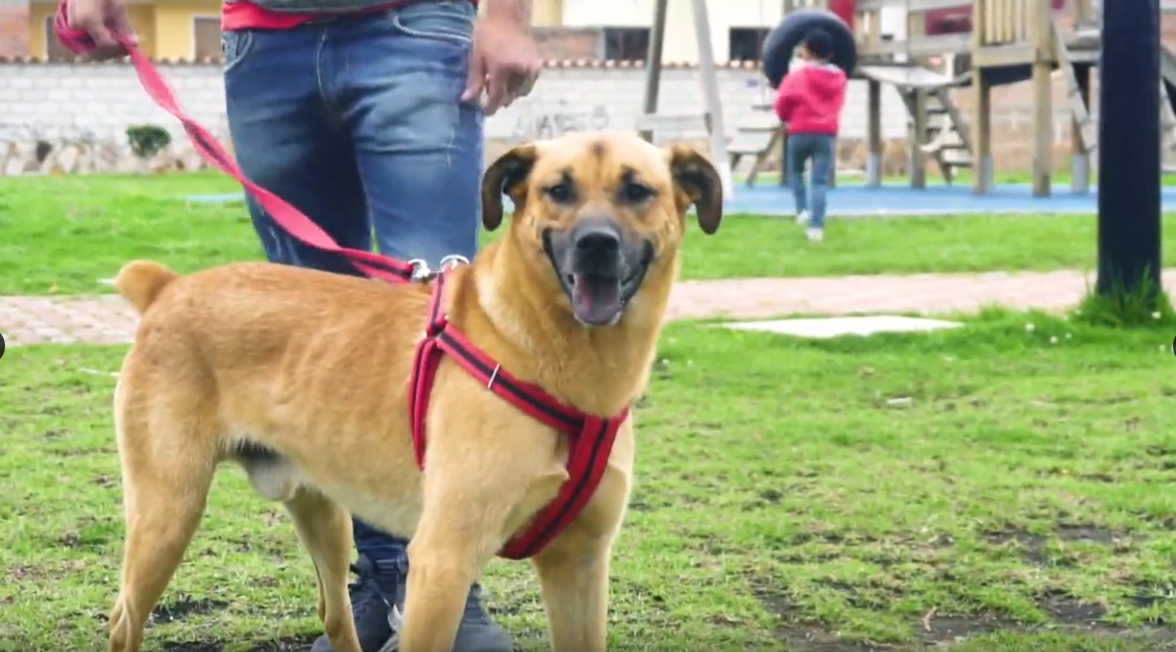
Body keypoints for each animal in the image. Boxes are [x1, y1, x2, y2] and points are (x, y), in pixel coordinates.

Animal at [105, 130, 719, 649]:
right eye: (558, 190)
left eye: (637, 190)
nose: (596, 244)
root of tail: (169, 289)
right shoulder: (442, 561)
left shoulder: (580, 566)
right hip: (168, 514)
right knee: (124, 619)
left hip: (324, 514)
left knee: (334, 614)